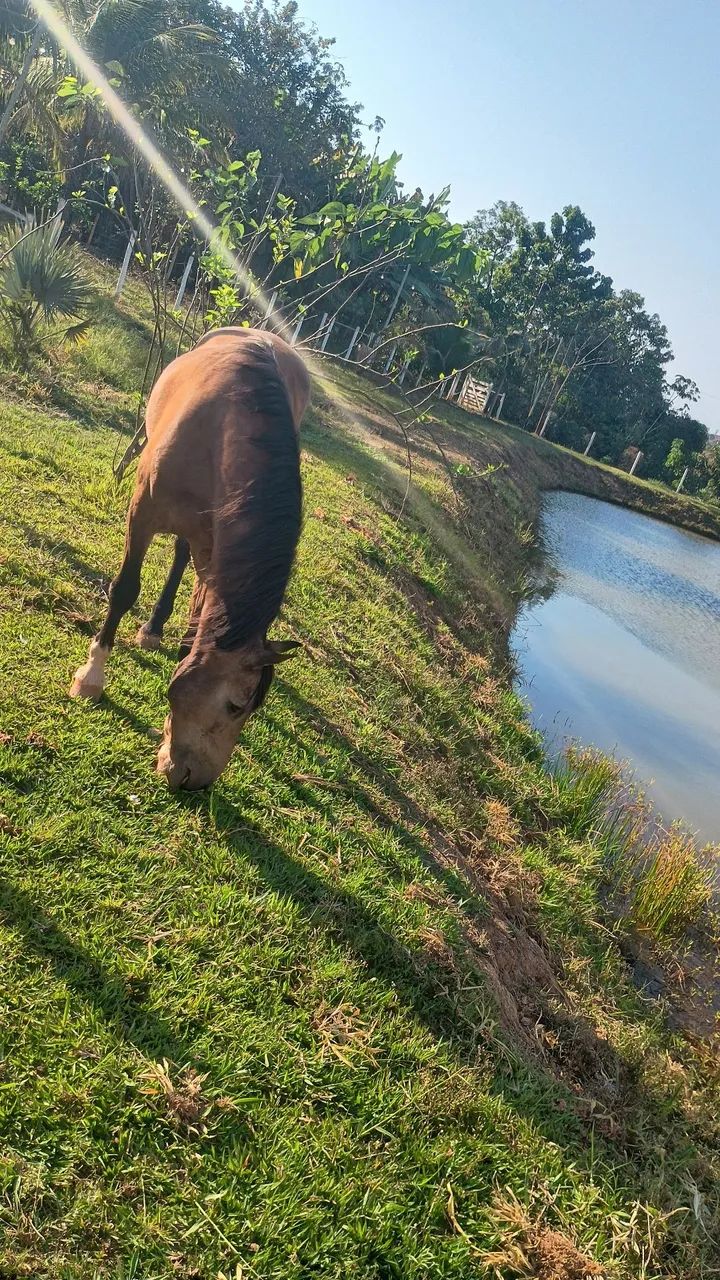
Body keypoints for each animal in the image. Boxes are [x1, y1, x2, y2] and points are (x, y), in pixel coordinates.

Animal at [70, 327, 310, 790]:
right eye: (236, 705)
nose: (197, 781)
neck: (225, 432)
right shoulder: (141, 514)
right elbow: (124, 590)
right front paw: (91, 677)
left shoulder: (217, 550)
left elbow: (197, 624)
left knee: (182, 556)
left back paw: (154, 627)